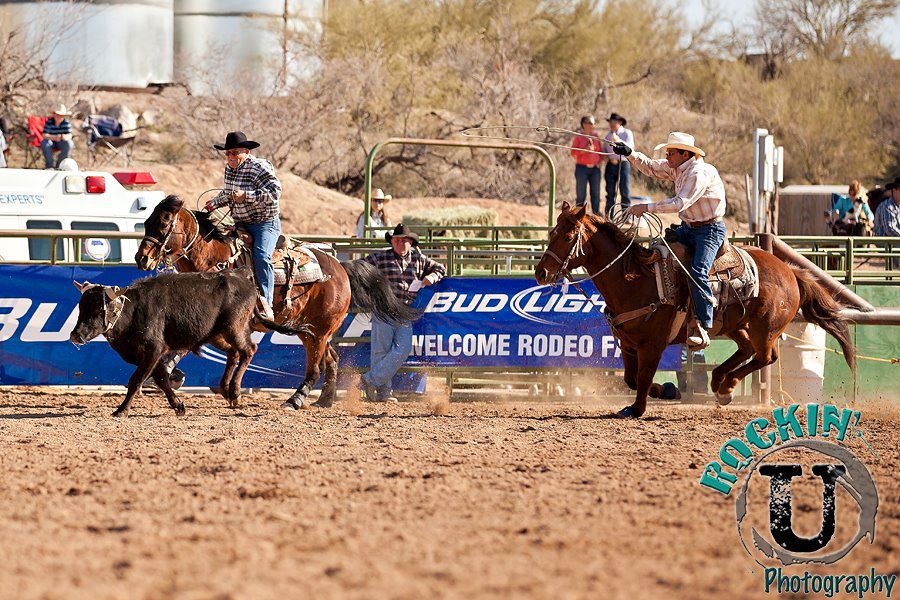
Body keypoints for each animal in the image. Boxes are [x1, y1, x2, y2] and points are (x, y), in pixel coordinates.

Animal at [134, 195, 422, 410]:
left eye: (164, 223)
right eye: (146, 222)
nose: (141, 258)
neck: (216, 261)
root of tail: (340, 266)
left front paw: (230, 391)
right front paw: (168, 375)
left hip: (321, 329)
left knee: (315, 368)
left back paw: (295, 400)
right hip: (312, 330)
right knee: (331, 359)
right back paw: (324, 400)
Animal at [536, 202, 856, 418]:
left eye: (567, 237)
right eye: (552, 232)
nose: (540, 273)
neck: (635, 278)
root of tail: (790, 271)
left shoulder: (653, 344)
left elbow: (642, 377)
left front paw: (640, 407)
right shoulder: (627, 343)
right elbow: (630, 379)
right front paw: (666, 391)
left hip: (766, 327)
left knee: (765, 356)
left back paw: (727, 385)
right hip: (734, 324)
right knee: (747, 350)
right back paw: (720, 384)